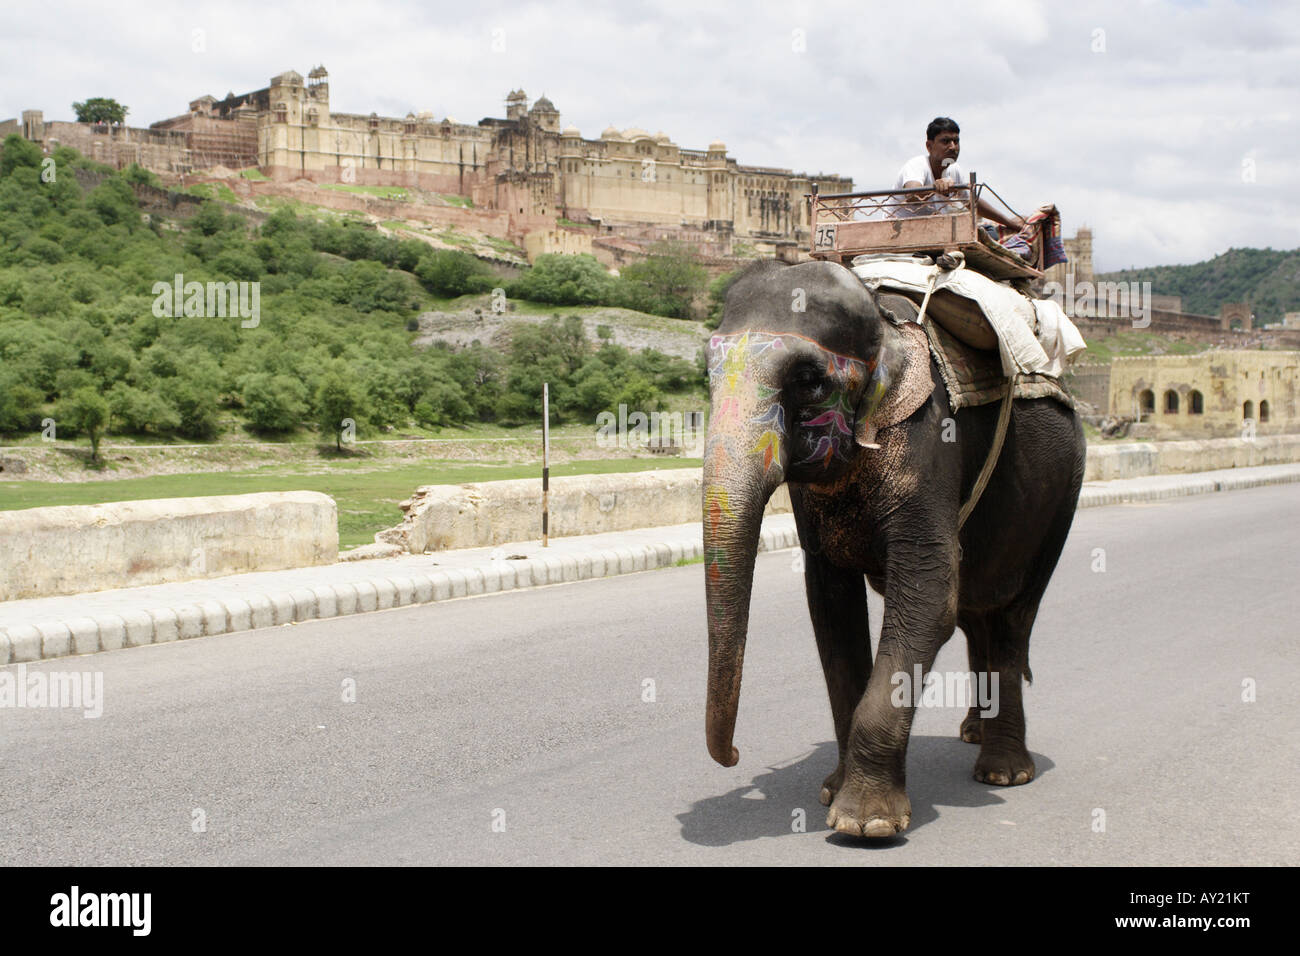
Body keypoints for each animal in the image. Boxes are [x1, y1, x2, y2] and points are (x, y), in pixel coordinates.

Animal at [702, 257, 1086, 832]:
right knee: (978, 614)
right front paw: (831, 793)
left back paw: (1003, 772)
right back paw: (973, 733)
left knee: (1012, 619)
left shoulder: (926, 439)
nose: (734, 758)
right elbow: (829, 606)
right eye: (705, 374)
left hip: (1061, 498)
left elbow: (928, 595)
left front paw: (866, 823)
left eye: (809, 380)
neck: (881, 322)